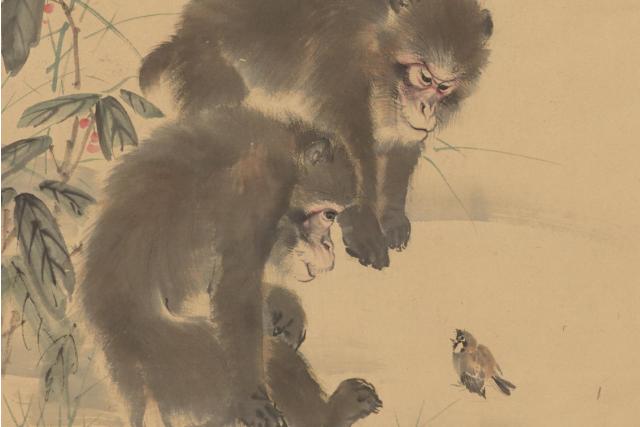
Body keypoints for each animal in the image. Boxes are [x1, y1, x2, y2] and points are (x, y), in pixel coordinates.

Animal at [79, 106, 382, 427]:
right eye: (329, 215)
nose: (328, 247)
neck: (283, 154)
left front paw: (283, 305)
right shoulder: (258, 192)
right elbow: (235, 292)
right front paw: (250, 400)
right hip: (183, 362)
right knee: (271, 355)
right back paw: (331, 414)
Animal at [139, 0, 494, 270]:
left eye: (444, 86)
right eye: (424, 77)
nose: (426, 110)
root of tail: (185, 30)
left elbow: (400, 147)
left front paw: (392, 218)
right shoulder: (340, 68)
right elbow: (350, 145)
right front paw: (363, 227)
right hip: (209, 65)